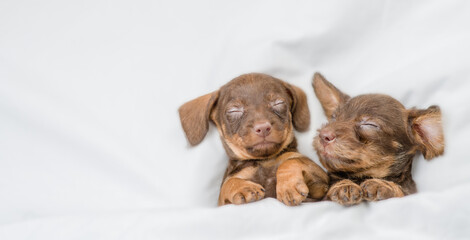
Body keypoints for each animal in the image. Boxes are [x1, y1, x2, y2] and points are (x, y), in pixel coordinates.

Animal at [178, 73, 328, 206]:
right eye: (234, 111)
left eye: (278, 103)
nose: (263, 128)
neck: (263, 161)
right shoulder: (222, 203)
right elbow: (228, 183)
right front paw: (244, 188)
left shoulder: (321, 182)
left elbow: (291, 161)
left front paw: (288, 186)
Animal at [312, 72, 444, 205]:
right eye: (334, 118)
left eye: (370, 124)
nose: (323, 134)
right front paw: (343, 185)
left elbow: (400, 191)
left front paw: (383, 185)